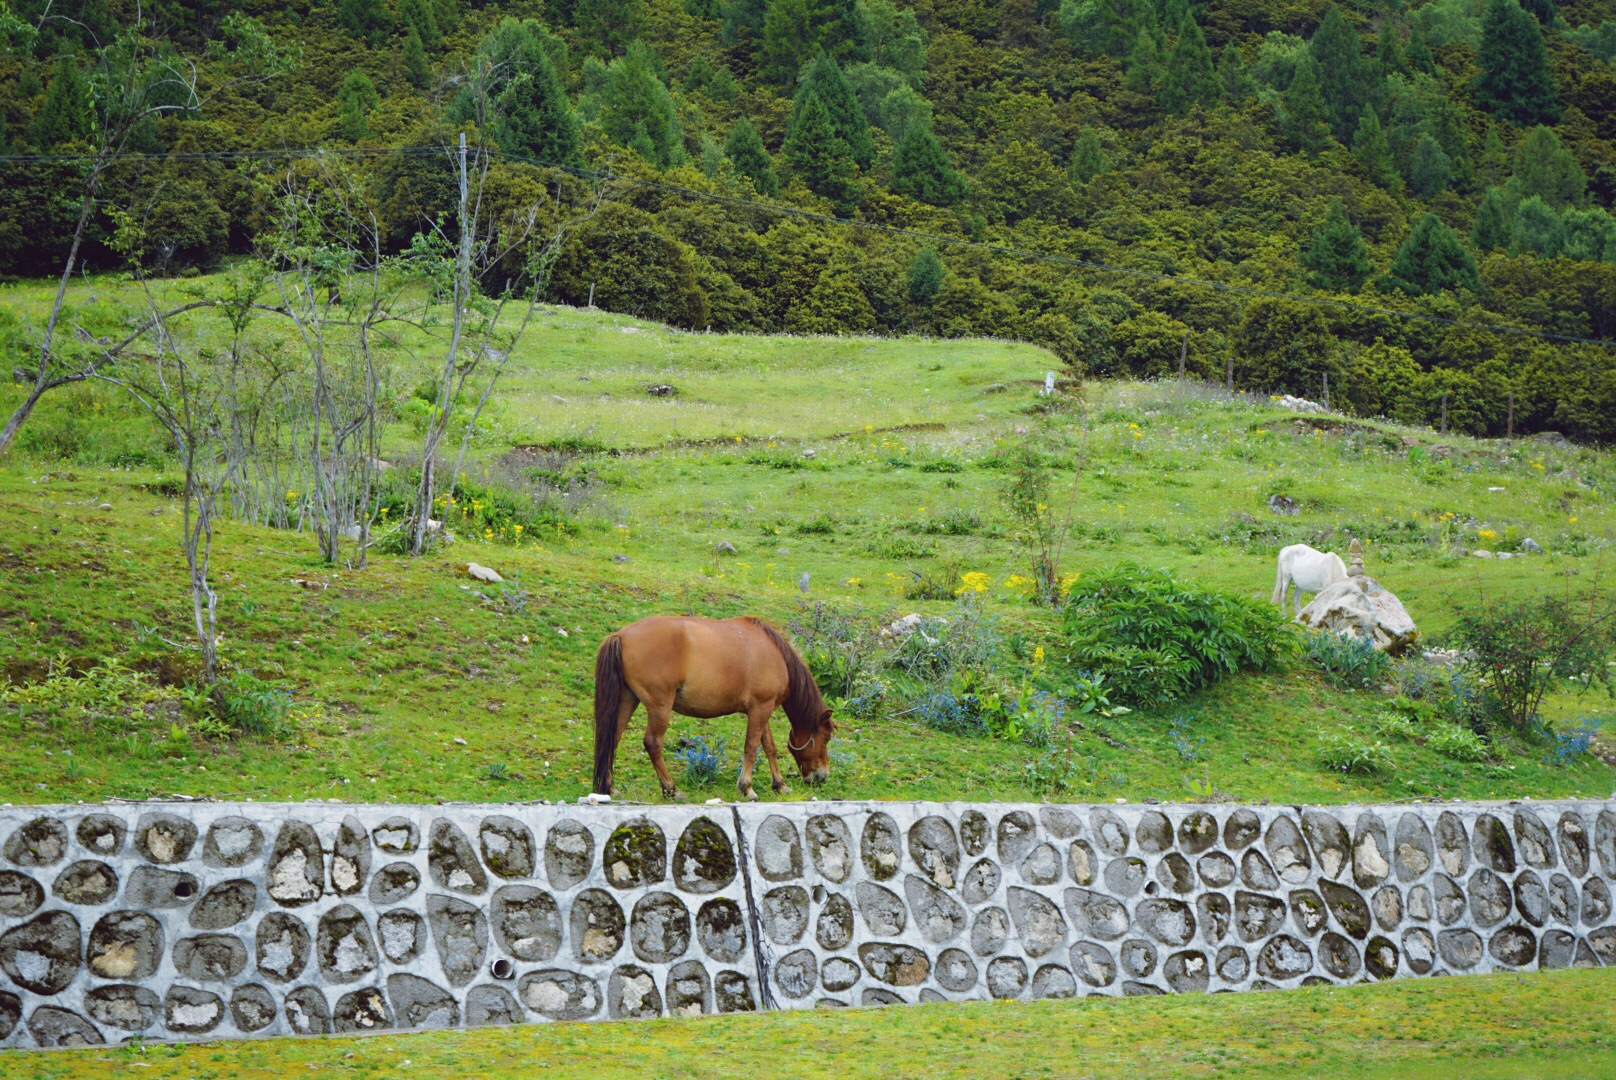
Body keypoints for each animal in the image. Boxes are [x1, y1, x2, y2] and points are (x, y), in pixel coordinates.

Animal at [591, 614, 833, 801]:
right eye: (826, 738)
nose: (822, 776)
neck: (774, 653)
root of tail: (621, 636)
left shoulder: (762, 709)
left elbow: (769, 747)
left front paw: (780, 784)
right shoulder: (761, 708)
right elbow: (751, 747)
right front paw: (747, 788)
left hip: (627, 700)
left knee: (612, 739)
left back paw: (611, 788)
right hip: (660, 707)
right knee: (653, 744)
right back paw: (672, 789)